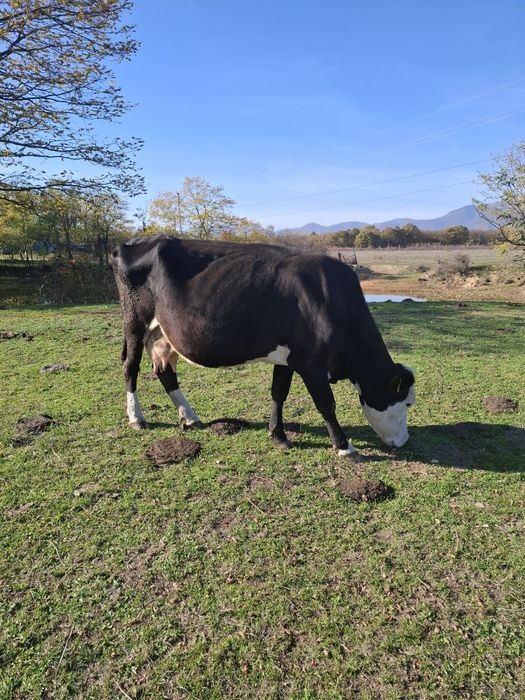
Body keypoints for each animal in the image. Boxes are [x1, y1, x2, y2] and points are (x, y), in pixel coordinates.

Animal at [112, 234, 415, 457]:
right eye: (408, 402)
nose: (405, 441)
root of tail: (133, 242)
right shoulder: (311, 362)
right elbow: (326, 403)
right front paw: (344, 446)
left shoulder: (290, 357)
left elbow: (278, 392)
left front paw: (278, 436)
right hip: (135, 323)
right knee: (130, 366)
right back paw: (137, 418)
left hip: (162, 334)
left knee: (165, 371)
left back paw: (189, 417)